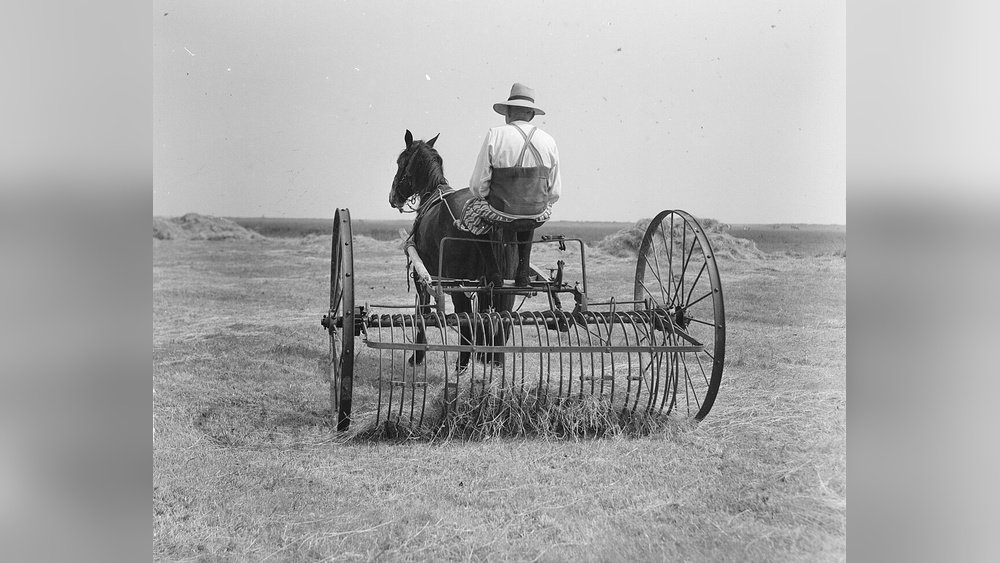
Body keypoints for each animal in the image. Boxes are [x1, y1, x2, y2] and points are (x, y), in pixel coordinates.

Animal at [388, 130, 518, 369]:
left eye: (400, 162)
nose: (393, 197)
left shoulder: (422, 276)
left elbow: (423, 311)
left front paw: (417, 356)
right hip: (505, 283)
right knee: (502, 316)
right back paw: (496, 360)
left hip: (460, 284)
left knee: (465, 316)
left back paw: (463, 363)